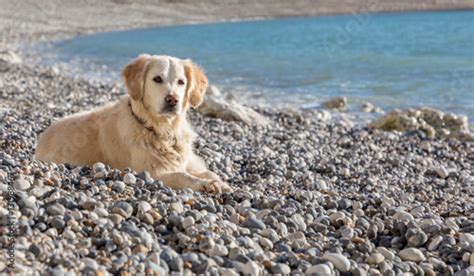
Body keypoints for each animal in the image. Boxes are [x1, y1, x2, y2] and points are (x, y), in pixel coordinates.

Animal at [36, 52, 232, 193]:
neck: (162, 130)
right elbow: (182, 176)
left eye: (181, 82)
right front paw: (207, 184)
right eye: (157, 79)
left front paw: (219, 182)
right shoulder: (152, 171)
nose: (172, 100)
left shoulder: (188, 160)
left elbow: (208, 171)